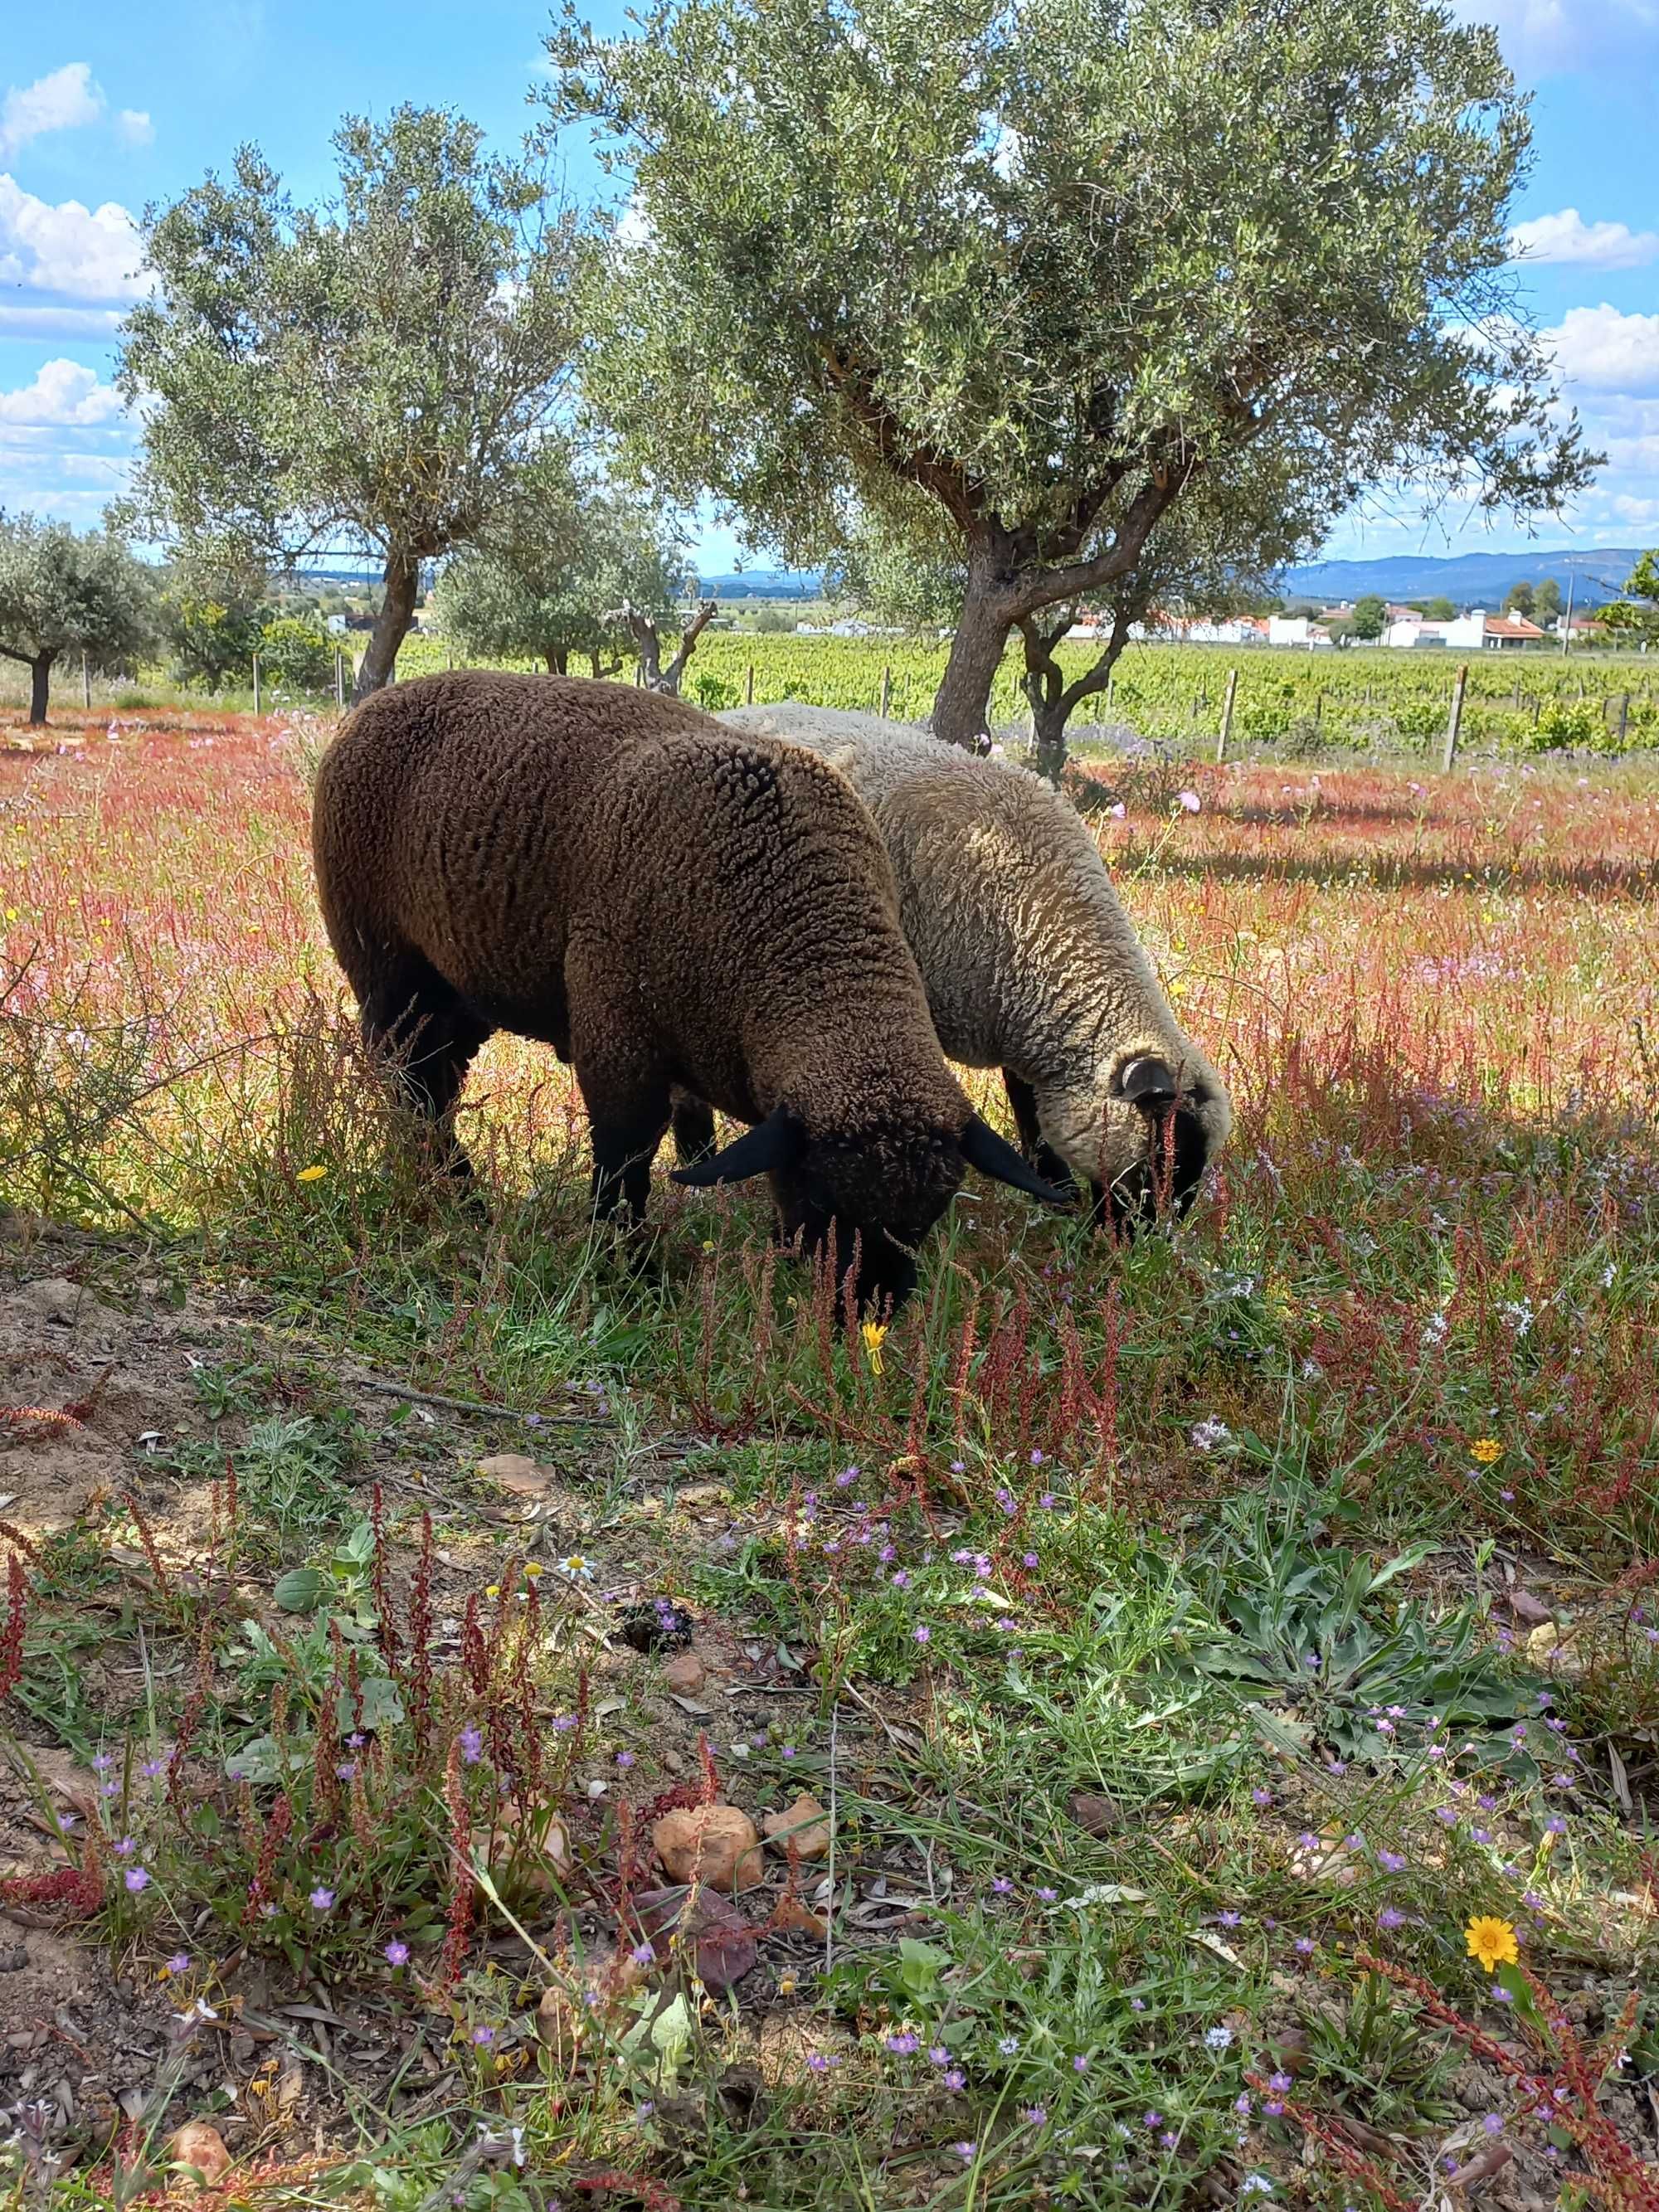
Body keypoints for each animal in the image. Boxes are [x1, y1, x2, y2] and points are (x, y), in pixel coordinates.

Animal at [312, 664, 1066, 1300]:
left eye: (929, 1217)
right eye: (823, 1200)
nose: (868, 1314)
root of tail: (372, 703)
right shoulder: (617, 1041)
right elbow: (624, 1163)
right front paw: (627, 1272)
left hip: (462, 984)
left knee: (436, 1083)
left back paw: (455, 1192)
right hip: (386, 966)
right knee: (407, 1081)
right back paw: (454, 1197)